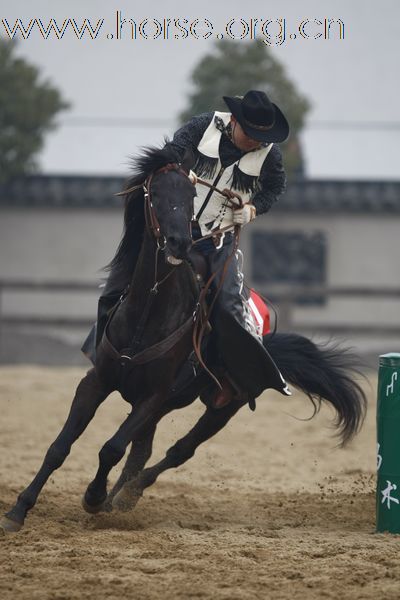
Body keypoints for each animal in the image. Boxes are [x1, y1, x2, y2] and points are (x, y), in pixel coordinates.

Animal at [1, 144, 368, 528]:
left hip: (225, 406)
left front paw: (94, 497)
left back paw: (126, 496)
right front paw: (19, 509)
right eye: (156, 194)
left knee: (178, 451)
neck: (148, 311)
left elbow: (111, 448)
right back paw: (119, 498)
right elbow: (60, 447)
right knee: (142, 452)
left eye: (191, 195)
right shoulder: (97, 382)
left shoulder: (153, 396)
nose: (179, 241)